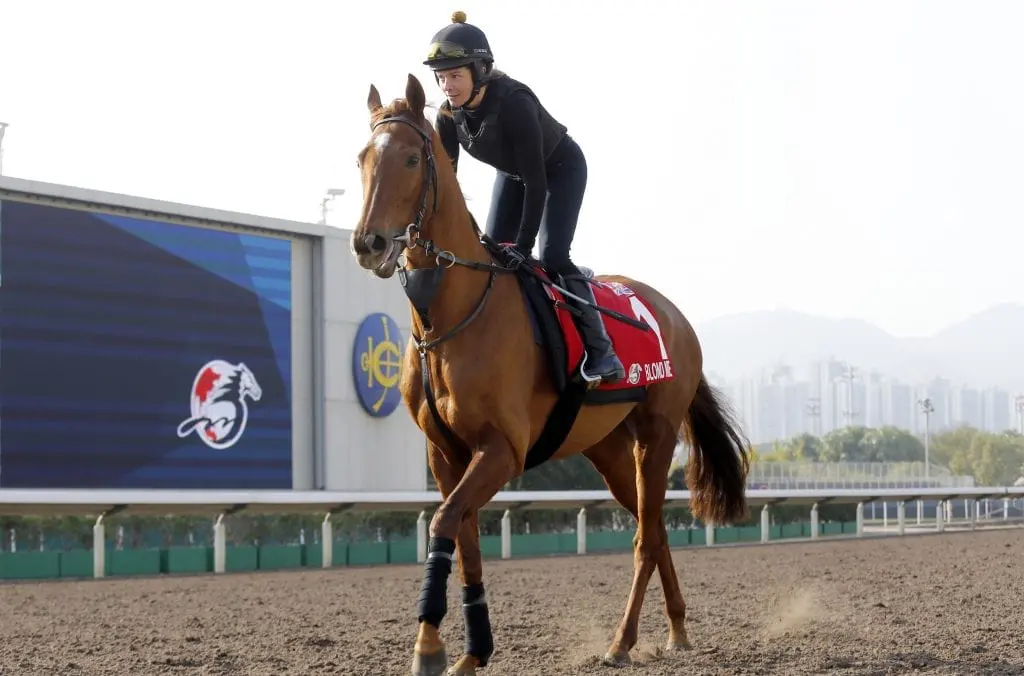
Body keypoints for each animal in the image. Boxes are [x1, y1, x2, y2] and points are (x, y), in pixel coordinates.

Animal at [348, 73, 749, 676]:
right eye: (363, 159)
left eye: (413, 158)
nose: (368, 243)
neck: (456, 314)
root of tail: (674, 316)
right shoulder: (446, 454)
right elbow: (464, 538)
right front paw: (472, 652)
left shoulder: (503, 449)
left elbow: (443, 523)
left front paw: (429, 649)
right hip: (609, 450)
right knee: (654, 529)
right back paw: (677, 630)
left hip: (655, 436)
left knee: (644, 537)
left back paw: (622, 641)